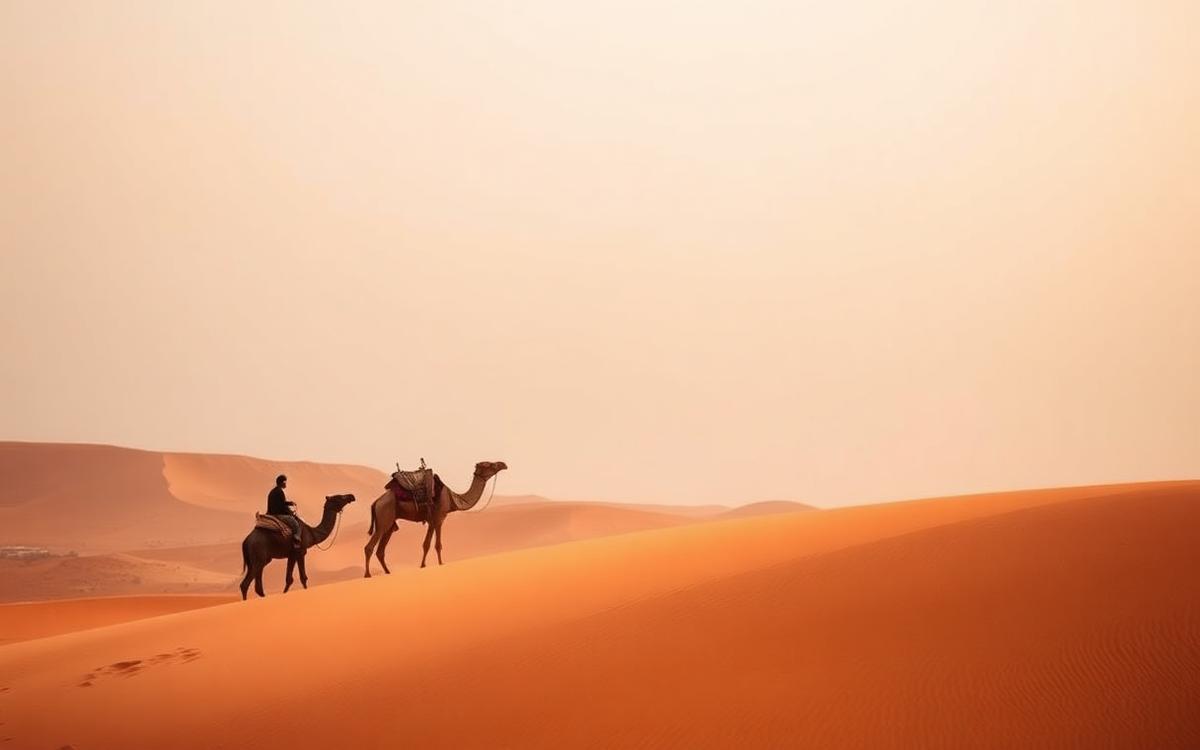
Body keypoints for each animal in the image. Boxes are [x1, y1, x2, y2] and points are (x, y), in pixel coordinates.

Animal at [363, 461, 507, 576]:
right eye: (489, 464)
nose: (503, 464)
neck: (452, 499)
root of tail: (375, 502)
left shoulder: (431, 521)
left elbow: (426, 544)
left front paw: (423, 565)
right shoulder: (439, 518)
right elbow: (438, 545)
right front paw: (441, 564)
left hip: (389, 524)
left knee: (381, 550)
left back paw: (387, 572)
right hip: (383, 517)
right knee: (369, 547)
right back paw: (367, 574)